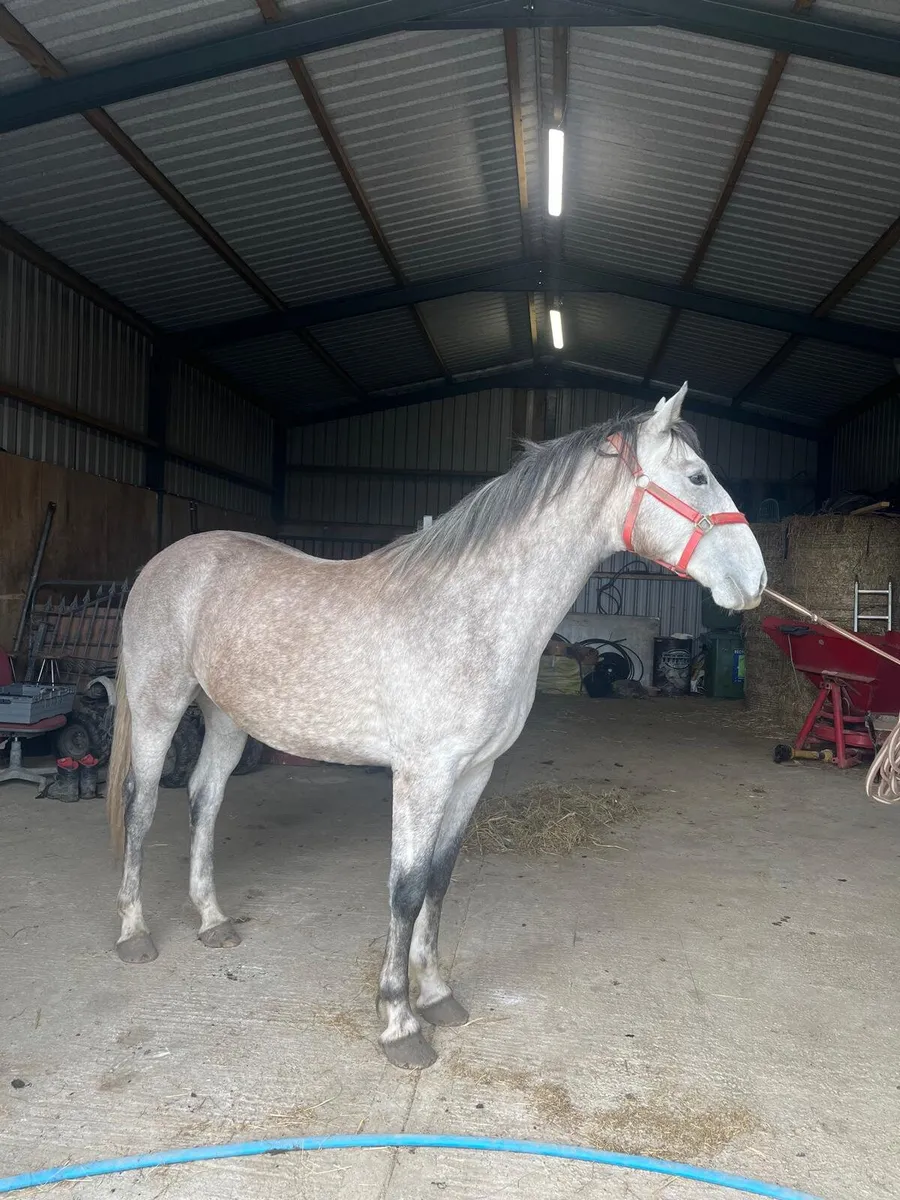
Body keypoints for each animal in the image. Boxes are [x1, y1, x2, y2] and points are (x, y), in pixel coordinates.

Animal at [105, 383, 766, 1069]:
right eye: (698, 476)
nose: (756, 581)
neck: (472, 613)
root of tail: (164, 562)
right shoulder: (423, 775)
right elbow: (406, 887)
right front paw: (399, 1023)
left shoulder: (473, 773)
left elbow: (440, 881)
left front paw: (437, 995)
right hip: (158, 707)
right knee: (141, 806)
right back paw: (134, 933)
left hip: (227, 718)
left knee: (205, 800)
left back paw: (212, 921)